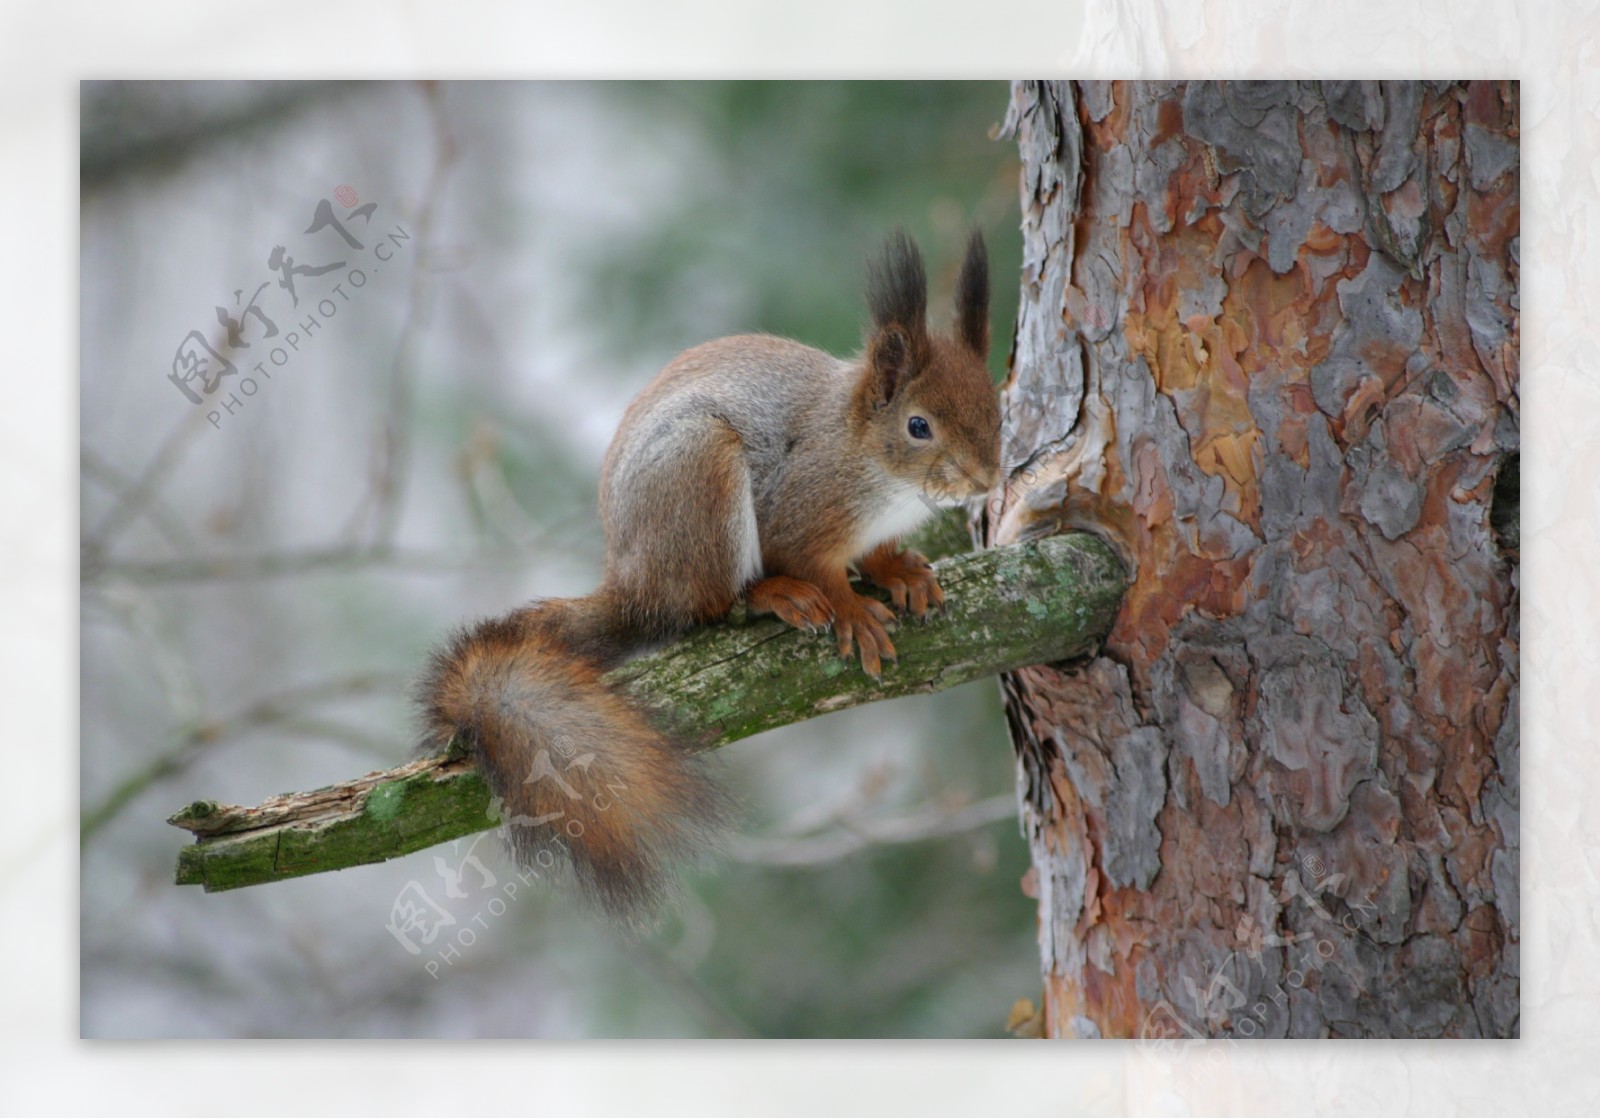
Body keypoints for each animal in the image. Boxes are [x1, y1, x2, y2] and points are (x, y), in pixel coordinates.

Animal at [425, 230, 998, 928]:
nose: (987, 479)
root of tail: (636, 587)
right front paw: (852, 610)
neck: (876, 469)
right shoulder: (804, 507)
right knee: (716, 605)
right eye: (919, 426)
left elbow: (878, 554)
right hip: (702, 477)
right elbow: (812, 563)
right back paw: (772, 596)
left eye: (996, 402)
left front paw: (902, 570)